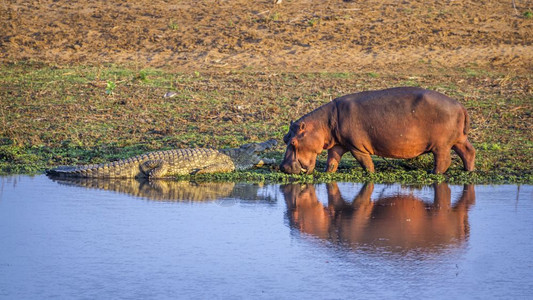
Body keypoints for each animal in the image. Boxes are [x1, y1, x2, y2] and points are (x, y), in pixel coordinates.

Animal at [280, 85, 476, 175]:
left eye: (293, 141)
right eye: (284, 138)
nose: (284, 167)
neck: (323, 124)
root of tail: (460, 105)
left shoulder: (357, 147)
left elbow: (366, 163)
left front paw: (371, 174)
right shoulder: (338, 144)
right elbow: (332, 161)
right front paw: (328, 173)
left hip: (441, 145)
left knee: (444, 160)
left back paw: (433, 173)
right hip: (458, 139)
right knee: (469, 152)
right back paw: (468, 171)